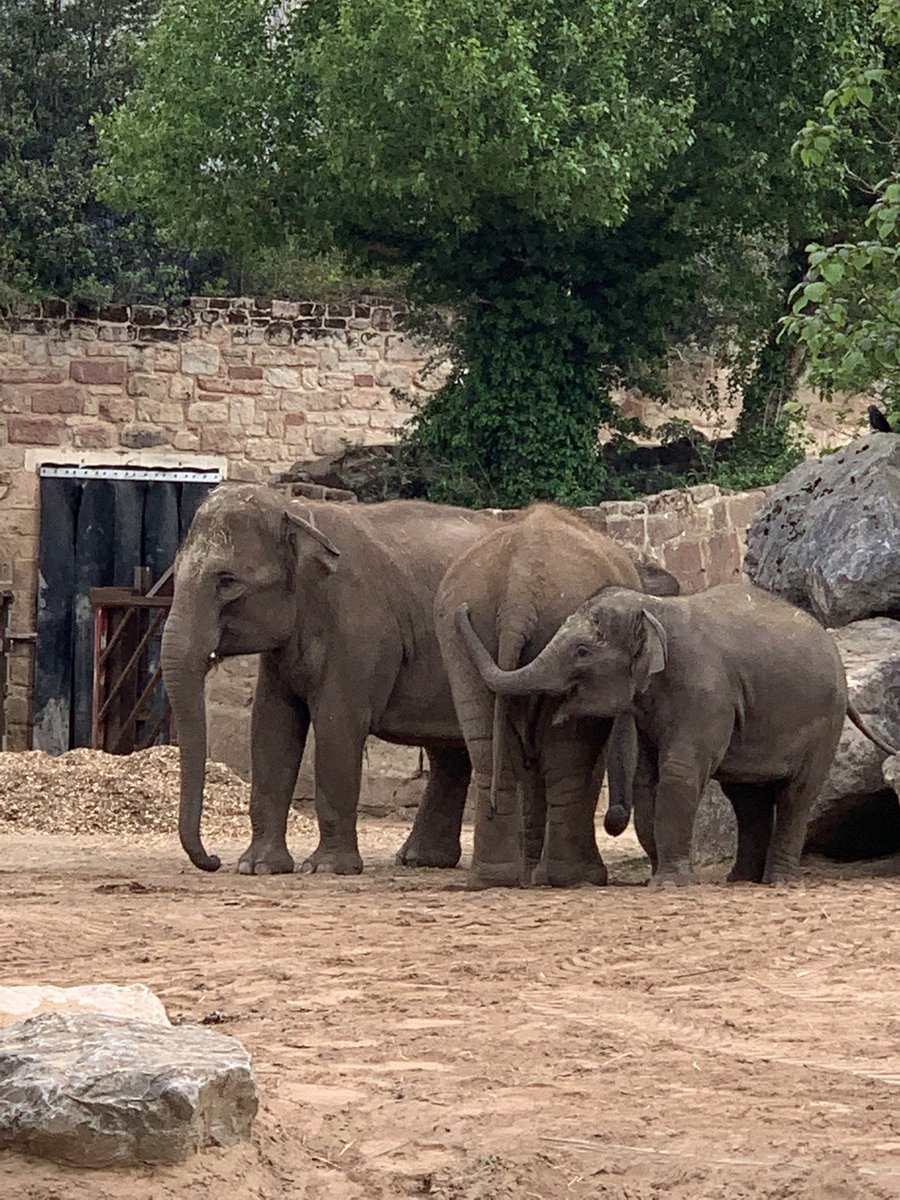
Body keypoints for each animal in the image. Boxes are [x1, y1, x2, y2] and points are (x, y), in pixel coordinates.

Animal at [161, 483, 500, 874]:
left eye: (228, 582)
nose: (214, 861)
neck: (298, 512)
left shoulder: (358, 626)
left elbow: (337, 723)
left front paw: (325, 868)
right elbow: (271, 725)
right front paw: (258, 867)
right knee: (449, 751)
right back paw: (420, 860)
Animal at [434, 503, 672, 889]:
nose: (615, 820)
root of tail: (517, 594)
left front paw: (531, 874)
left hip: (459, 639)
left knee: (487, 746)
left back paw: (495, 878)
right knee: (568, 758)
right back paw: (576, 877)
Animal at [454, 581, 894, 887]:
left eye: (582, 651)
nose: (464, 608)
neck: (654, 607)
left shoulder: (705, 691)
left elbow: (679, 773)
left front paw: (668, 883)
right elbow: (648, 780)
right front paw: (661, 877)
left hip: (825, 722)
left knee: (797, 794)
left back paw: (779, 881)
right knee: (747, 798)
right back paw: (741, 880)